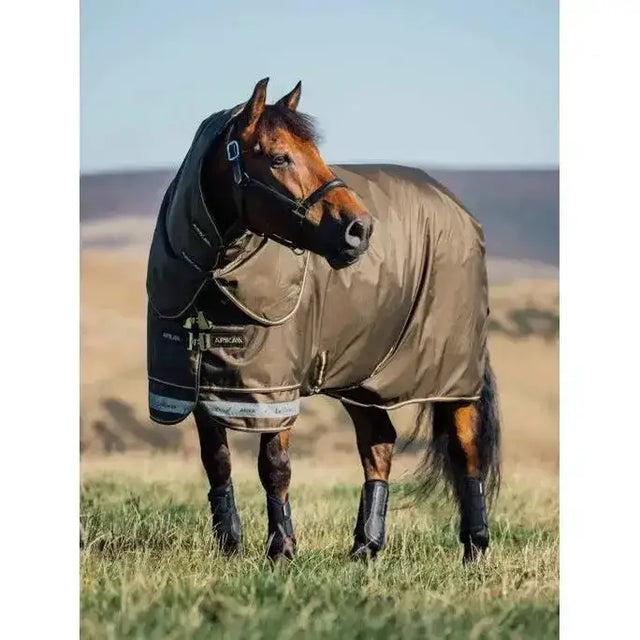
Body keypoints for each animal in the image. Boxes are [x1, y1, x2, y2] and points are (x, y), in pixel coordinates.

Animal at [146, 77, 501, 565]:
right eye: (279, 157)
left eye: (315, 150)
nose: (360, 230)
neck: (211, 278)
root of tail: (459, 210)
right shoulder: (196, 387)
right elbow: (216, 462)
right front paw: (230, 545)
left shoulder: (274, 391)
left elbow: (274, 466)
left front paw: (281, 549)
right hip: (365, 376)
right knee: (379, 443)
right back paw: (366, 547)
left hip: (452, 375)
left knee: (466, 449)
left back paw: (474, 548)